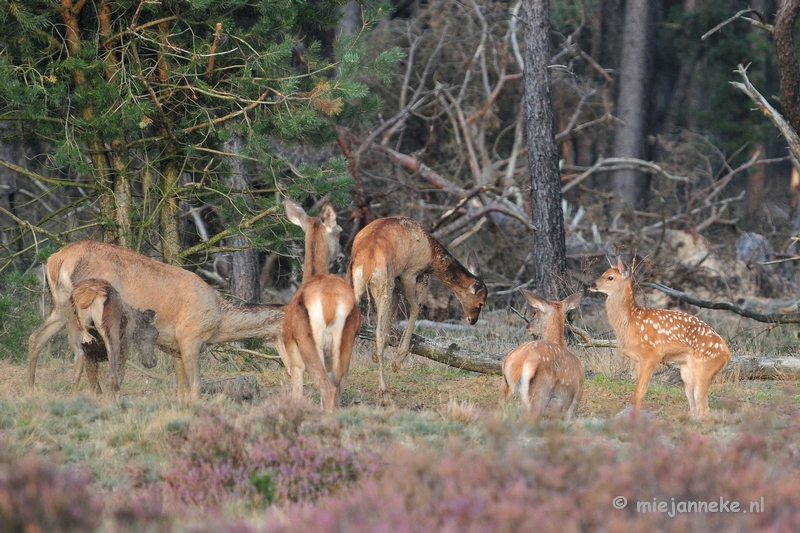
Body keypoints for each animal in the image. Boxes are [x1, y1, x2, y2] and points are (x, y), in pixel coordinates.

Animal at [27, 239, 284, 402]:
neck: (220, 318)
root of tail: (56, 260)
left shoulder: (174, 346)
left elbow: (181, 388)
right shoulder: (189, 337)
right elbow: (196, 386)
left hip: (60, 305)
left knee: (36, 337)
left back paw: (32, 388)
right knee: (88, 351)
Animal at [278, 197, 360, 410]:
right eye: (339, 232)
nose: (342, 254)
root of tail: (330, 300)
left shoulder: (293, 361)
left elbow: (297, 395)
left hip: (307, 340)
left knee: (327, 388)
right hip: (347, 339)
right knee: (337, 387)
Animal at [346, 214, 484, 402]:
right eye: (481, 303)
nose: (472, 320)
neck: (430, 255)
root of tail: (366, 263)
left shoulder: (397, 277)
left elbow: (395, 305)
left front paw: (377, 354)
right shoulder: (409, 273)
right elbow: (415, 309)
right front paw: (397, 361)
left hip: (356, 282)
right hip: (382, 284)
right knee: (378, 332)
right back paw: (384, 391)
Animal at [504, 288, 584, 418]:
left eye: (534, 312)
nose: (528, 326)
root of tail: (521, 362)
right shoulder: (576, 400)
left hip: (506, 389)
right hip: (541, 393)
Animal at [588, 256, 732, 416]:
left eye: (610, 277)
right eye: (603, 272)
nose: (591, 284)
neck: (630, 322)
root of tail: (727, 353)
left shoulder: (651, 355)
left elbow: (640, 391)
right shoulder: (638, 360)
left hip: (704, 367)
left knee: (704, 407)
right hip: (686, 369)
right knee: (694, 404)